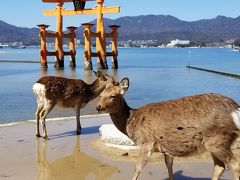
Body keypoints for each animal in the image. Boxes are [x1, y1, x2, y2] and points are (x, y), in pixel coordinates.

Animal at [96, 77, 240, 180]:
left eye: (113, 96)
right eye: (100, 95)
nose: (98, 107)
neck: (131, 121)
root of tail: (235, 109)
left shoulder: (146, 142)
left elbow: (138, 168)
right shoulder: (166, 148)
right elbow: (169, 167)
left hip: (217, 139)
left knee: (234, 164)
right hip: (213, 142)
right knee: (220, 167)